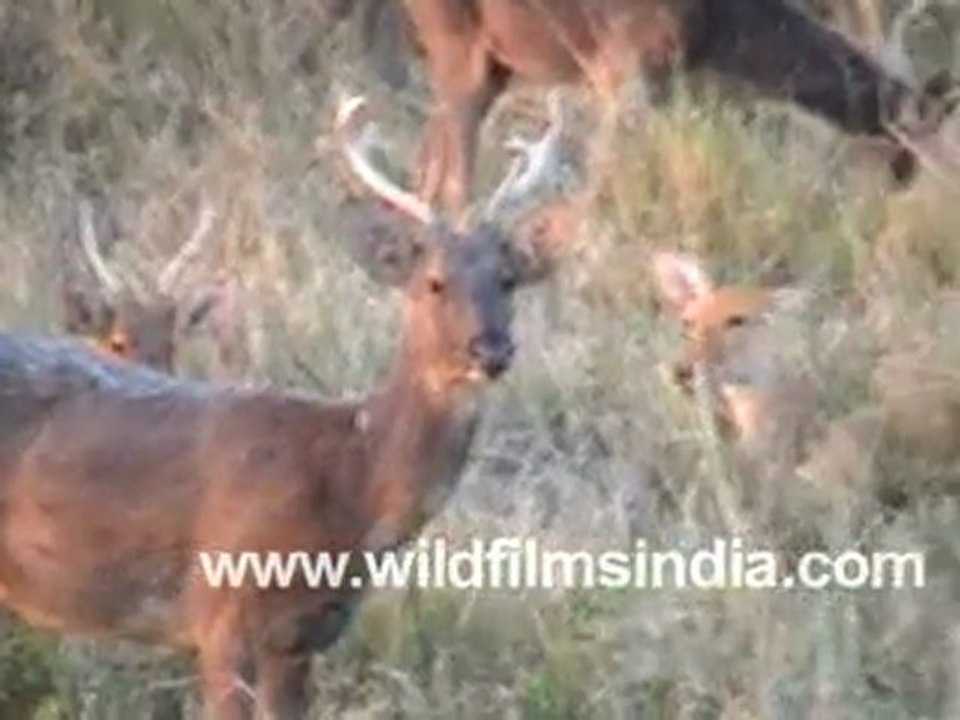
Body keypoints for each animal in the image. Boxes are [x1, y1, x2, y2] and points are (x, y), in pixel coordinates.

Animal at [0, 93, 572, 719]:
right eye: (434, 282)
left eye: (509, 279)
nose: (491, 350)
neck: (348, 484)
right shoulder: (221, 612)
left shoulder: (302, 638)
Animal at [400, 0, 960, 212]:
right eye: (902, 150)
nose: (902, 184)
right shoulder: (628, 67)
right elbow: (605, 179)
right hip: (461, 46)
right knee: (450, 180)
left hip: (486, 64)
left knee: (428, 166)